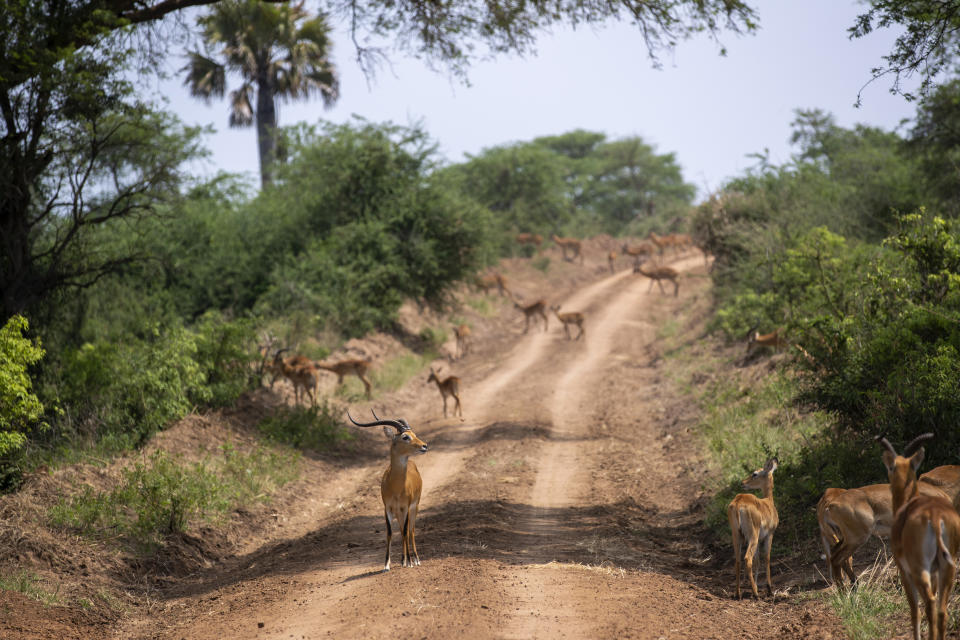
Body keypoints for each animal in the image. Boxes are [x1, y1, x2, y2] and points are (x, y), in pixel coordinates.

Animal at [344, 412, 428, 572]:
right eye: (405, 437)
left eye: (414, 434)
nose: (424, 446)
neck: (396, 487)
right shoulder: (387, 508)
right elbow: (390, 532)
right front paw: (386, 565)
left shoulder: (406, 507)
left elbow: (406, 531)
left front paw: (410, 562)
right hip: (399, 512)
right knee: (402, 529)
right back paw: (403, 560)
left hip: (414, 507)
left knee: (411, 530)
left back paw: (415, 559)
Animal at [728, 456, 780, 600]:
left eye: (754, 474)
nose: (743, 483)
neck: (768, 502)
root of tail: (738, 502)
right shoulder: (769, 535)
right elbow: (767, 557)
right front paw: (769, 589)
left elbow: (757, 561)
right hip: (753, 536)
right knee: (747, 559)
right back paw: (756, 595)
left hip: (737, 535)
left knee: (738, 560)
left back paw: (738, 593)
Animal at [876, 436, 960, 640]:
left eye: (891, 467)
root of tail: (935, 517)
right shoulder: (935, 573)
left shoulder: (904, 571)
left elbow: (914, 610)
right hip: (948, 566)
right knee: (942, 610)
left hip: (919, 570)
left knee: (929, 604)